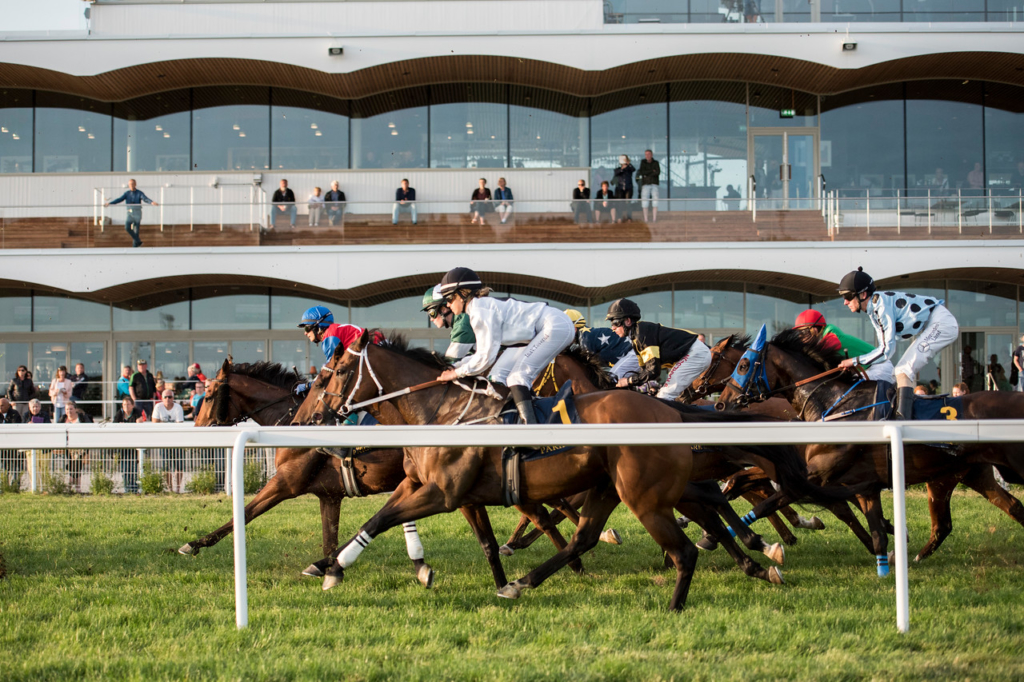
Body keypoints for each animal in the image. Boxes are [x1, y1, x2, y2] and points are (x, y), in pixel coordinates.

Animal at [299, 329, 860, 606]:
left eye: (335, 373)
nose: (310, 418)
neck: (439, 411)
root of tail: (670, 410)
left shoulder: (443, 493)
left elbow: (380, 519)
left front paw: (333, 572)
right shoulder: (432, 488)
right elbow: (388, 520)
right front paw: (330, 566)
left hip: (642, 492)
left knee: (698, 522)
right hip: (615, 486)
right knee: (594, 534)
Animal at [704, 329, 1024, 561]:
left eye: (744, 364)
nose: (721, 403)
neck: (833, 403)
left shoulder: (813, 477)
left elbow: (769, 502)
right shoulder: (806, 469)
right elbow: (742, 483)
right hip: (963, 474)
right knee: (1002, 509)